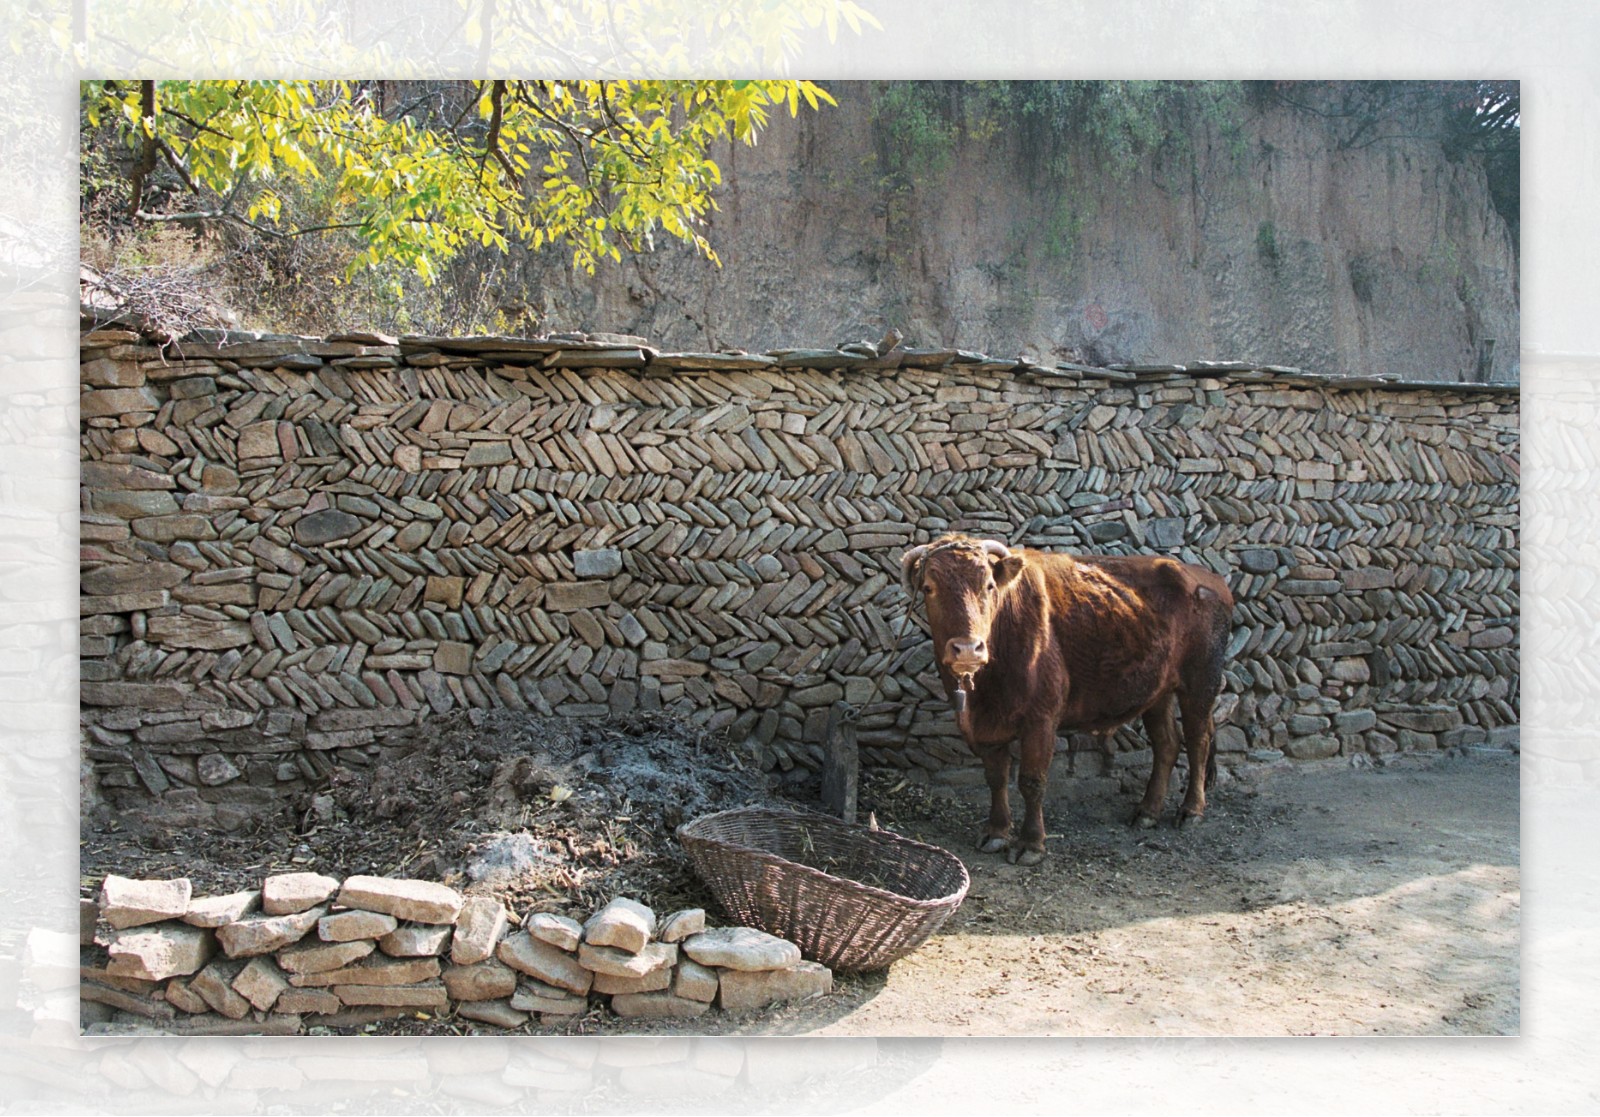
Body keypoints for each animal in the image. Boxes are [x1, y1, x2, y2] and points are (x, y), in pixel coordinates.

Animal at [902, 531, 1235, 864]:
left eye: (989, 586)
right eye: (929, 588)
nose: (968, 649)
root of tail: (1206, 576)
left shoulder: (1041, 718)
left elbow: (1032, 781)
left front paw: (1031, 844)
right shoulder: (986, 729)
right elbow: (996, 778)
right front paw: (996, 833)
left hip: (1201, 683)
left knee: (1198, 741)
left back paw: (1191, 810)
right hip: (1158, 692)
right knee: (1167, 743)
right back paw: (1147, 811)